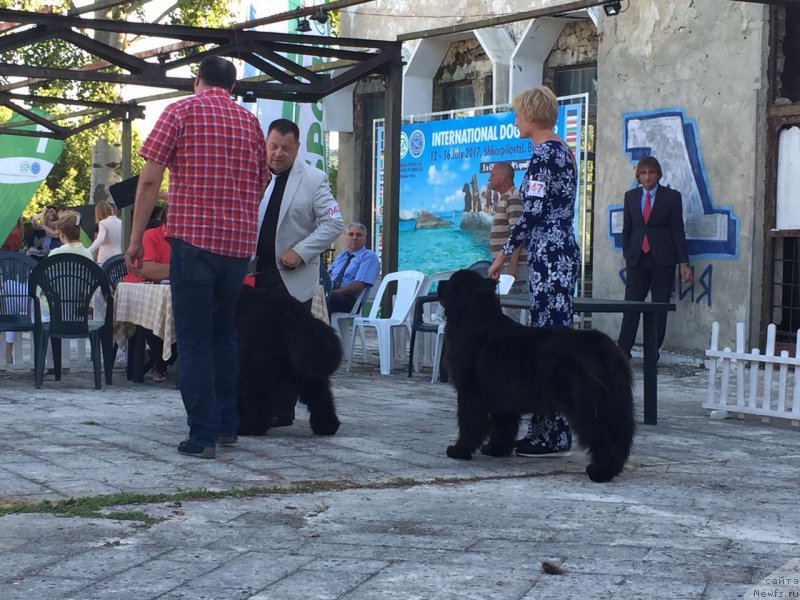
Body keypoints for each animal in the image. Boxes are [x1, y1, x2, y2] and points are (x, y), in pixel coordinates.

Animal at [234, 284, 340, 436]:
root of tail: (293, 311)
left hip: (257, 365)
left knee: (258, 398)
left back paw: (250, 427)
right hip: (302, 367)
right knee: (320, 395)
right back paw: (327, 426)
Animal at [434, 270, 636, 482]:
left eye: (452, 282)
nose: (439, 284)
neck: (474, 318)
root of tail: (605, 348)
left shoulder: (470, 393)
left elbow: (469, 423)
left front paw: (459, 450)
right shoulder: (503, 397)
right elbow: (503, 426)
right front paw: (496, 449)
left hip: (586, 405)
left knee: (602, 437)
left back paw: (601, 472)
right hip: (610, 405)